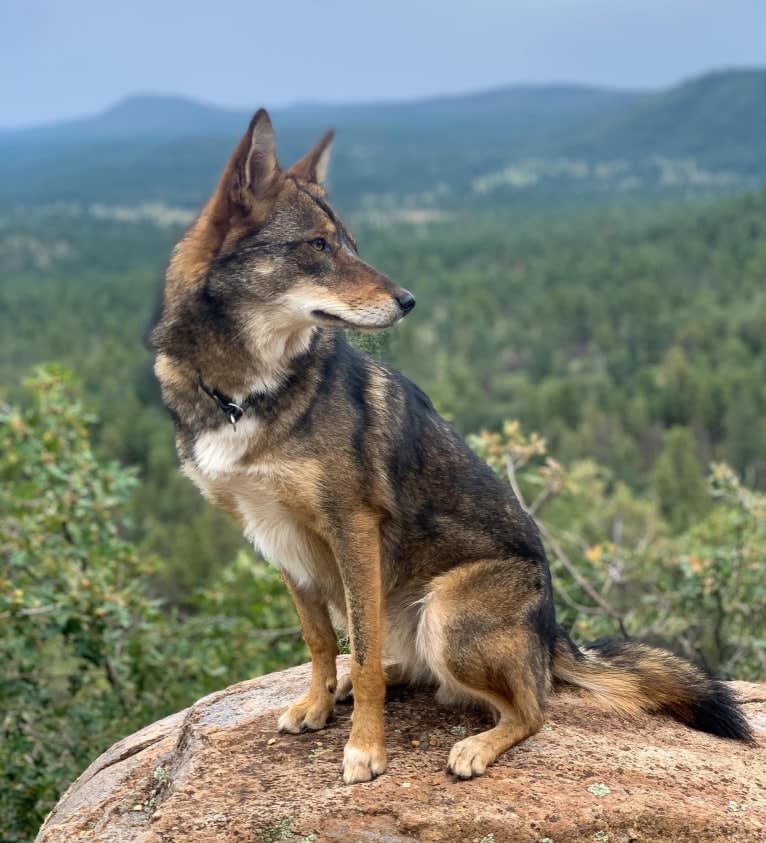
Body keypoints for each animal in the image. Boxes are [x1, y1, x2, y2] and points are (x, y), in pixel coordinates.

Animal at [152, 110, 756, 784]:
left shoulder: (350, 525)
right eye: (319, 246)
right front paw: (317, 703)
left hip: (446, 613)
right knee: (413, 670)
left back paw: (477, 745)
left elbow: (360, 652)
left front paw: (365, 749)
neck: (247, 391)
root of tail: (553, 637)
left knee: (534, 709)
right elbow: (322, 639)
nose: (409, 301)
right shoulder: (276, 535)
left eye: (349, 242)